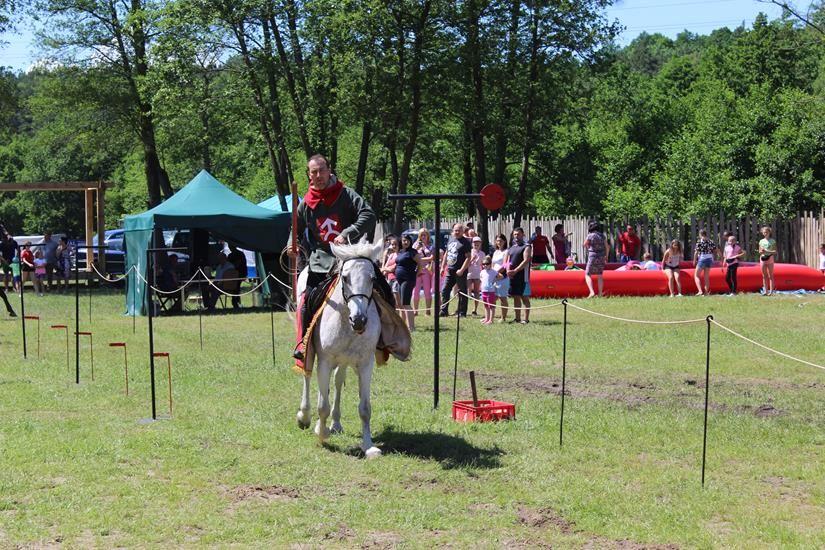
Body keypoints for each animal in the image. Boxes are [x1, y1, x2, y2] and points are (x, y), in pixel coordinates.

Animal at [296, 239, 384, 460]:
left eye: (373, 278)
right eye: (345, 277)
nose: (359, 320)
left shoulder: (365, 363)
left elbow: (364, 408)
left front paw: (369, 446)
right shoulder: (325, 360)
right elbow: (322, 406)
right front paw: (322, 435)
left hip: (343, 361)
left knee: (336, 382)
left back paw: (335, 423)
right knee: (308, 375)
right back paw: (306, 416)